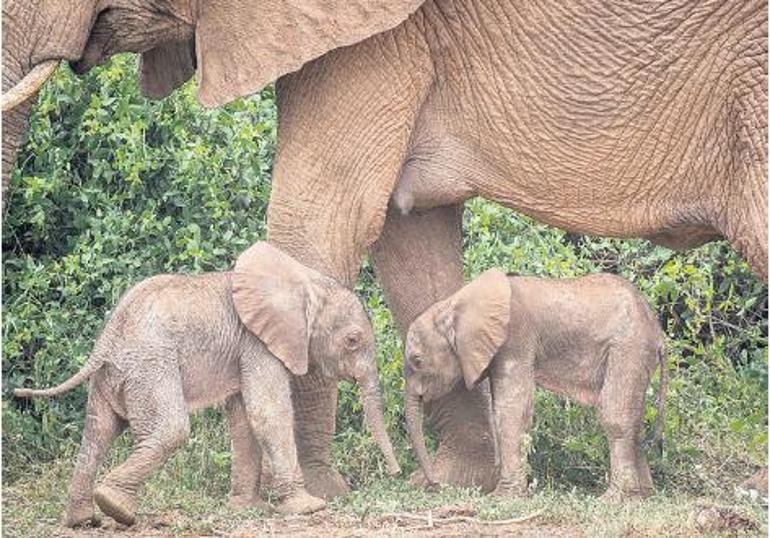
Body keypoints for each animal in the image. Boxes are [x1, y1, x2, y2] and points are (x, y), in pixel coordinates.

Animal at [15, 241, 400, 524]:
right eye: (352, 341)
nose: (396, 473)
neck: (303, 283)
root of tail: (106, 338)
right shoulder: (257, 343)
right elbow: (267, 413)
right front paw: (309, 508)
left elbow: (244, 419)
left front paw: (247, 509)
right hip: (150, 365)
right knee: (169, 429)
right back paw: (116, 508)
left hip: (116, 374)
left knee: (98, 431)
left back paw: (83, 519)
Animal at [402, 268, 664, 498]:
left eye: (417, 360)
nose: (435, 484)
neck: (454, 304)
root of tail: (657, 329)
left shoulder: (515, 340)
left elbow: (511, 411)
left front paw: (503, 497)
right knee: (634, 417)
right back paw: (641, 496)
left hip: (629, 346)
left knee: (615, 415)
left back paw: (614, 499)